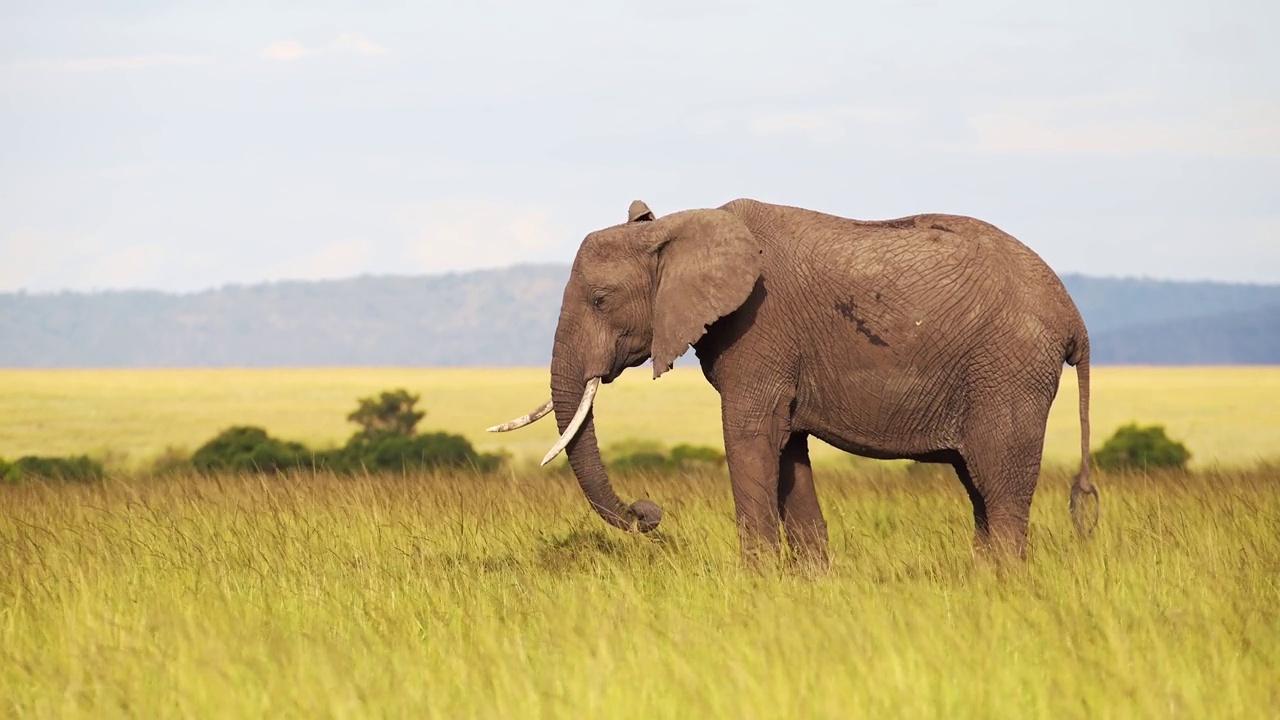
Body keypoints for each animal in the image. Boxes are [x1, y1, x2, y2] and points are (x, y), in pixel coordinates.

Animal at [488, 194, 1100, 561]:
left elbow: (750, 439)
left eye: (600, 299)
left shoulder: (760, 331)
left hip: (1009, 371)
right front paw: (808, 587)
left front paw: (755, 586)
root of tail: (1074, 318)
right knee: (980, 491)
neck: (686, 222)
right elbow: (789, 452)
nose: (648, 511)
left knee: (1000, 489)